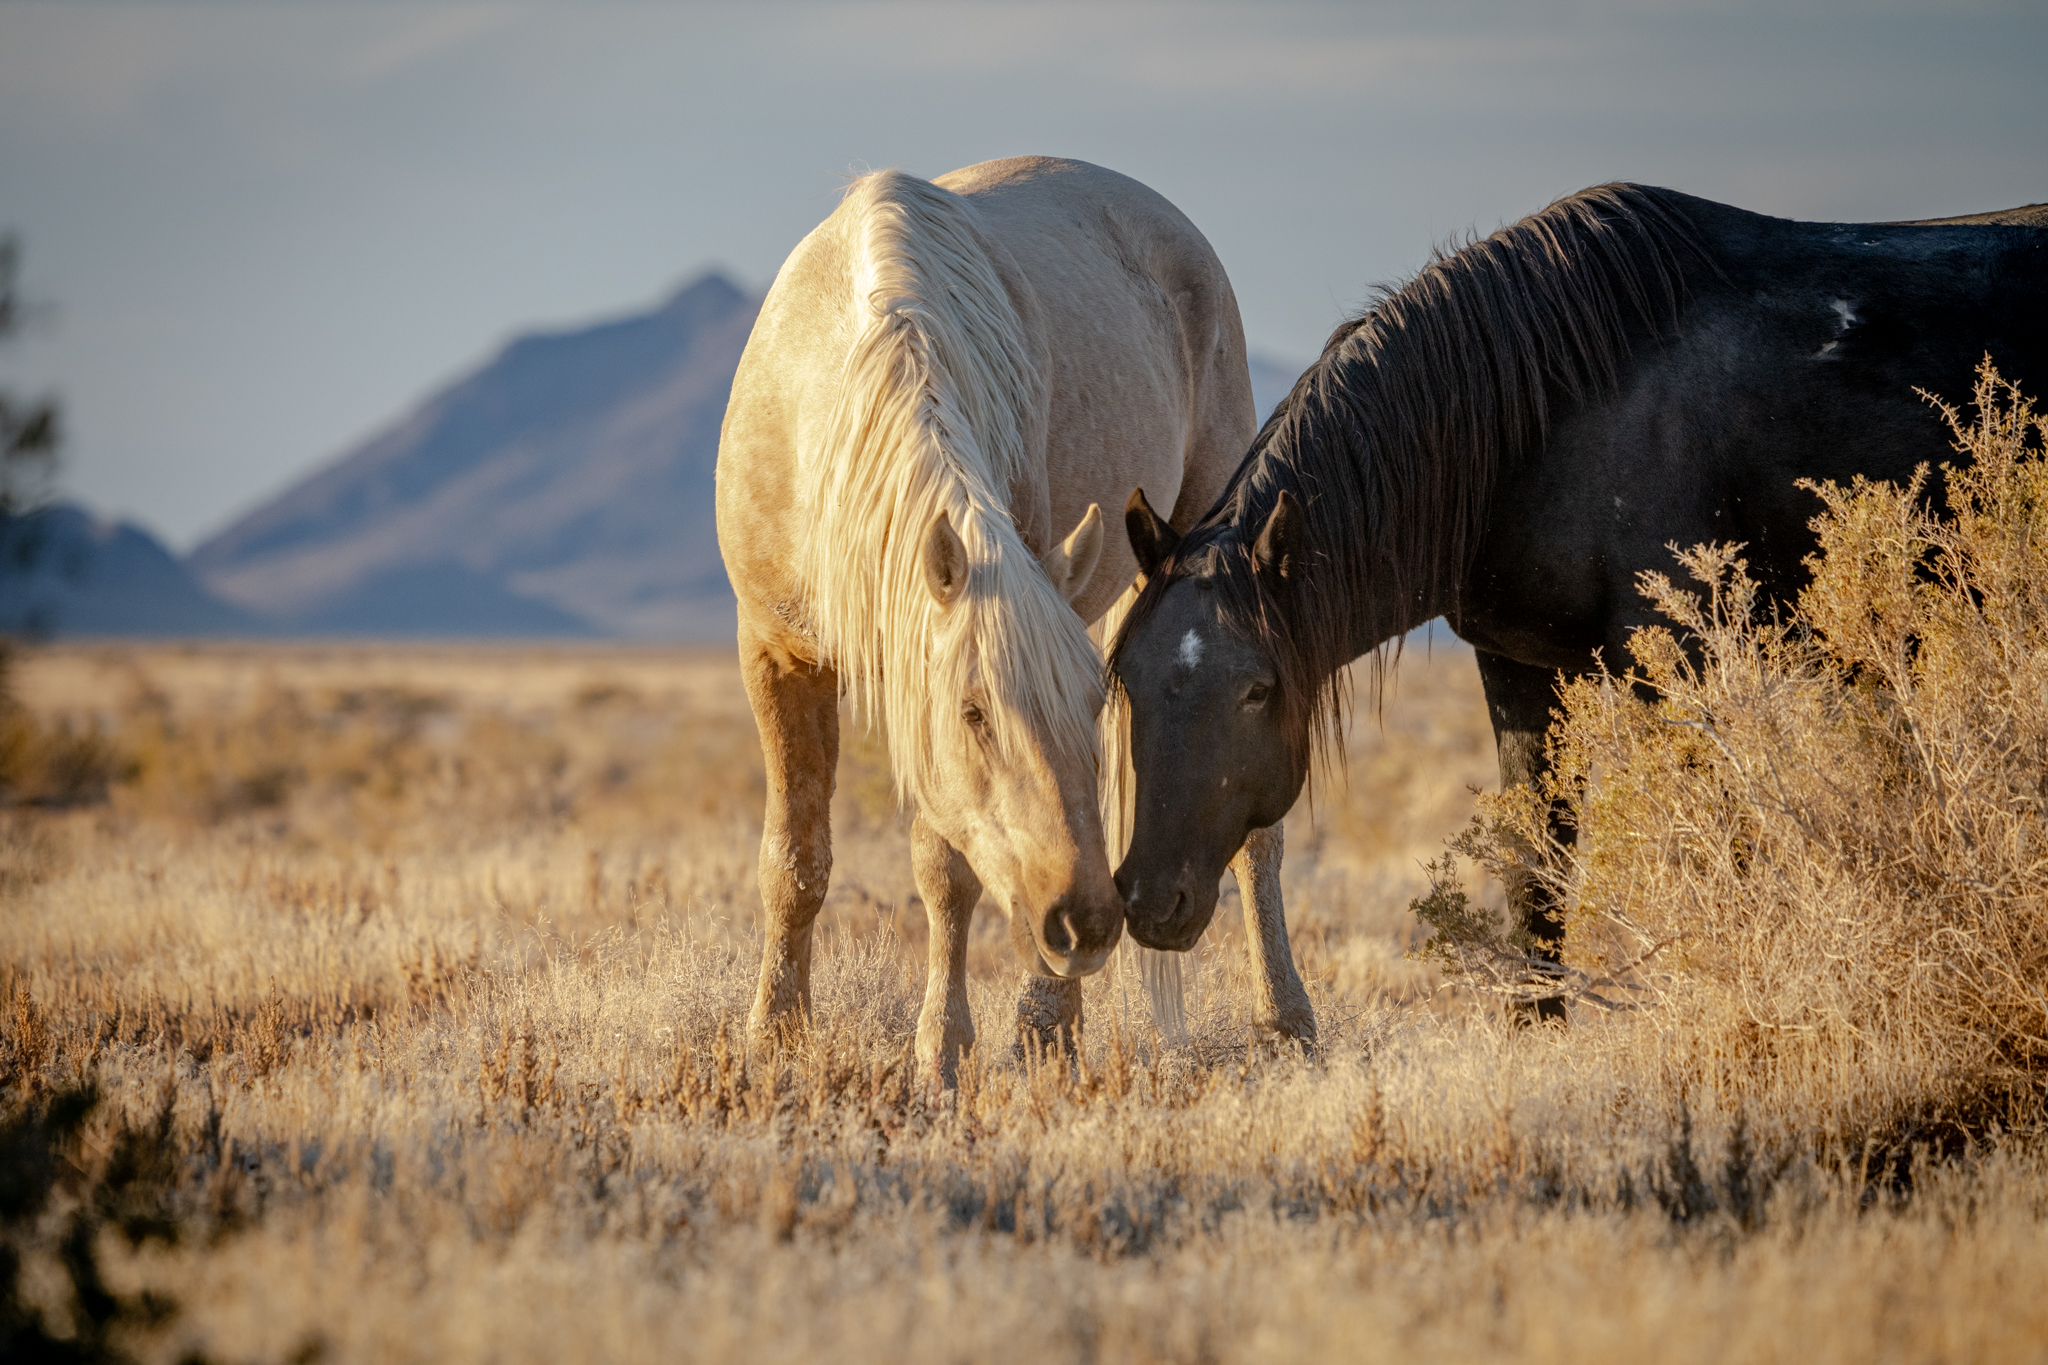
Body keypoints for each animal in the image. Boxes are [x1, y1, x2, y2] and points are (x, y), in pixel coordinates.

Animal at [720, 157, 1286, 1080]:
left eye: (1092, 711)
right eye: (974, 713)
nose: (1085, 922)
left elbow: (946, 873)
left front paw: (941, 1050)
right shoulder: (776, 653)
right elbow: (794, 860)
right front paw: (774, 1035)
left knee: (1253, 842)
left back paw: (1275, 1018)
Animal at [1114, 181, 2048, 1019]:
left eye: (1257, 689)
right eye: (1125, 677)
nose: (1150, 900)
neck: (1549, 416)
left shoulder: (1685, 667)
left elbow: (1722, 855)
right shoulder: (1522, 673)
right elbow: (1537, 867)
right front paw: (1538, 1027)